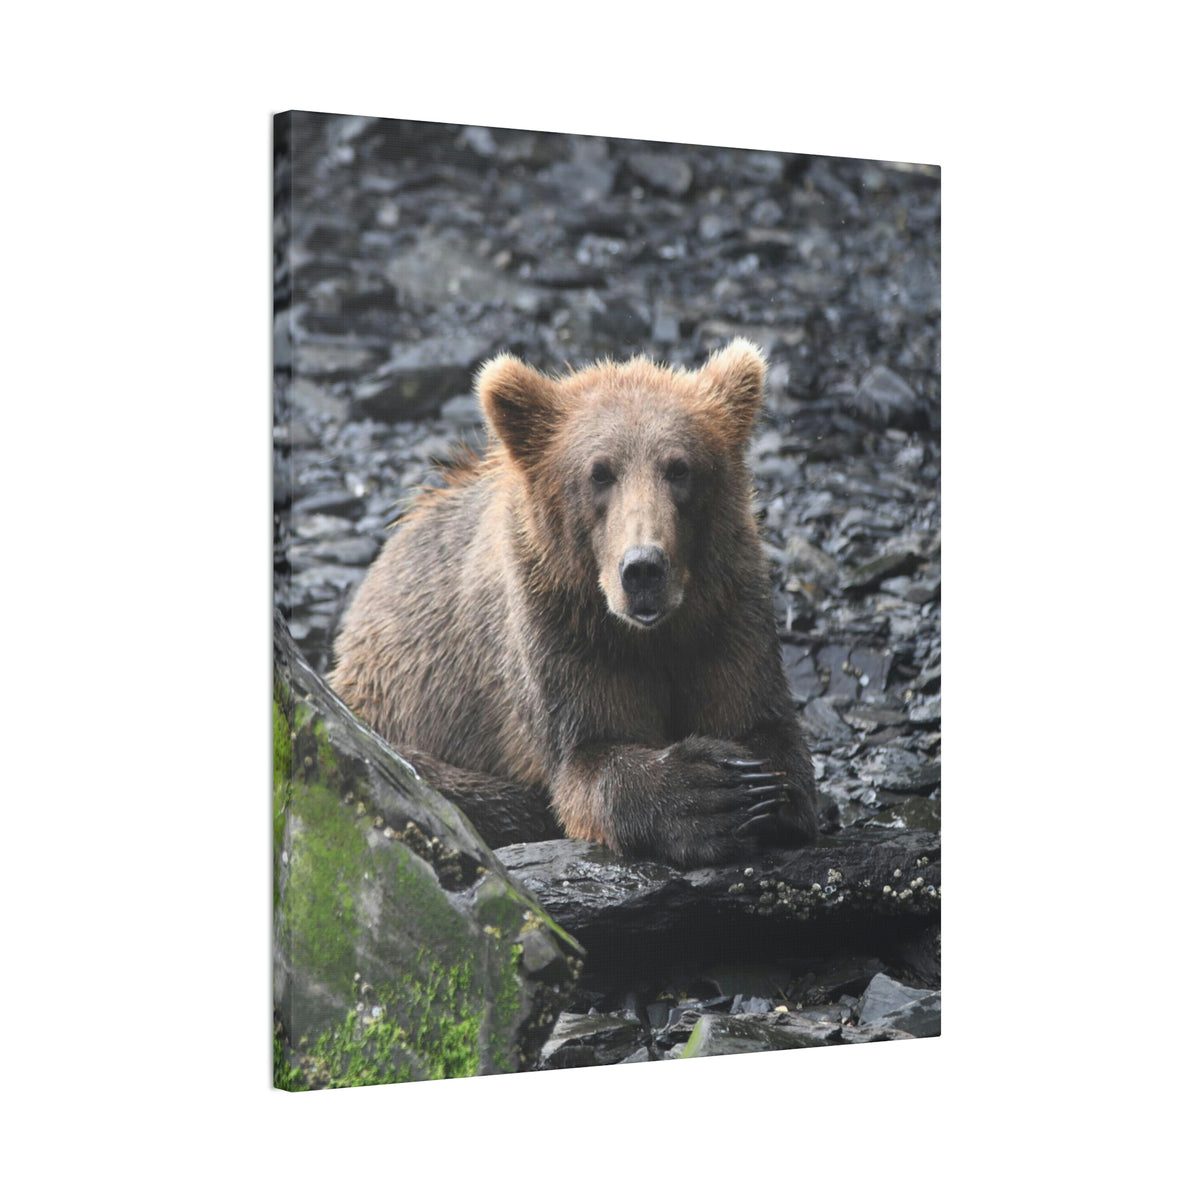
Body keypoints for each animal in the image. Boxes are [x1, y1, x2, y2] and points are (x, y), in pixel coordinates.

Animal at [328, 339, 818, 867]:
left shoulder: (726, 612)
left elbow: (763, 723)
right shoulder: (560, 630)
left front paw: (761, 788)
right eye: (599, 473)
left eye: (679, 467)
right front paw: (709, 793)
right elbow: (588, 757)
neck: (650, 635)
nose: (643, 569)